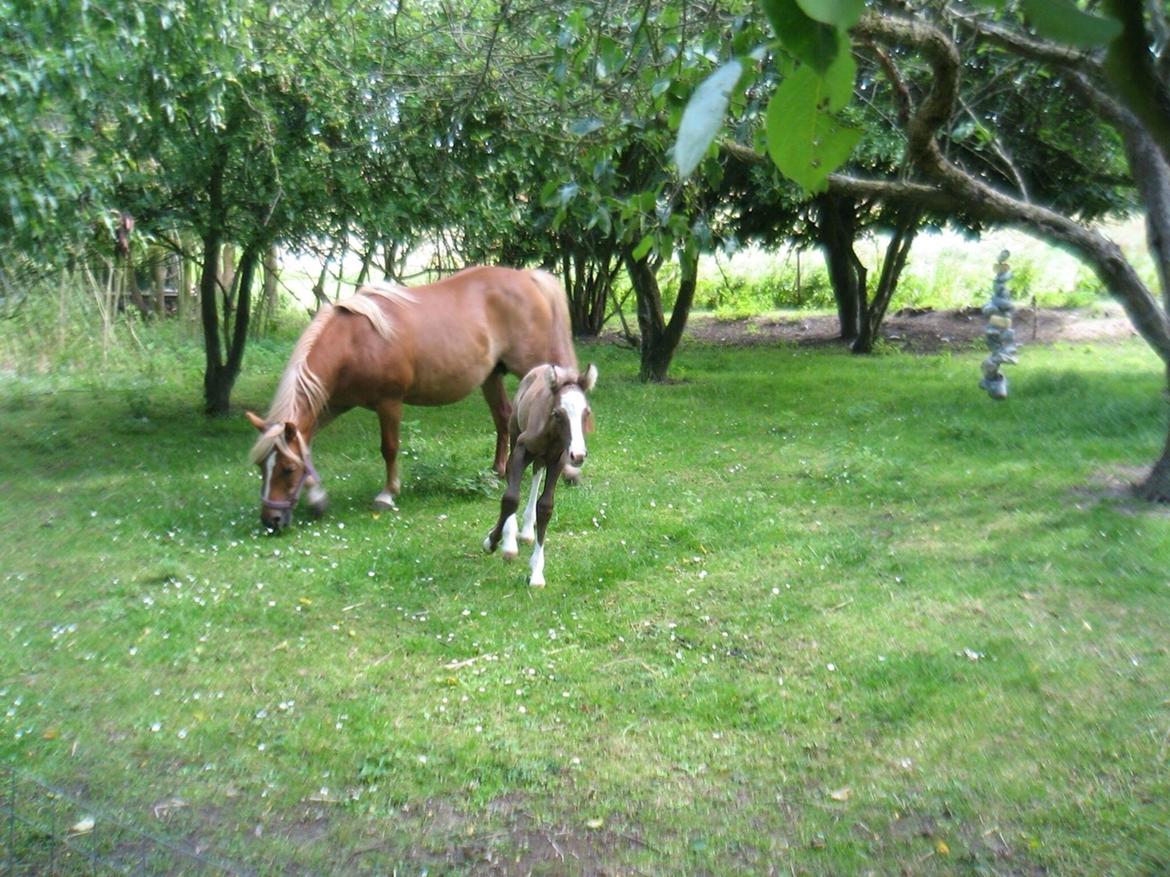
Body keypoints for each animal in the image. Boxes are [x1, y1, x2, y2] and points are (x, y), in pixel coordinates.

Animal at [246, 264, 575, 533]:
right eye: (262, 466)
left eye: (287, 470)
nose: (271, 521)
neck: (353, 341)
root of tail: (527, 277)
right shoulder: (332, 404)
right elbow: (307, 444)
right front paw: (317, 498)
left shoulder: (388, 402)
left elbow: (389, 448)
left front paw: (387, 494)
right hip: (492, 377)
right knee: (503, 417)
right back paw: (499, 470)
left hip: (537, 366)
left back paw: (570, 470)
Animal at [482, 364, 599, 591]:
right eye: (558, 413)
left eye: (586, 412)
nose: (578, 455)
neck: (551, 435)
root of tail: (540, 367)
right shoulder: (522, 448)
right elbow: (511, 498)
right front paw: (493, 542)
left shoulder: (558, 460)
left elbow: (545, 507)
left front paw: (536, 572)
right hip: (515, 434)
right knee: (511, 474)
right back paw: (510, 541)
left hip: (542, 458)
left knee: (537, 472)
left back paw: (527, 531)